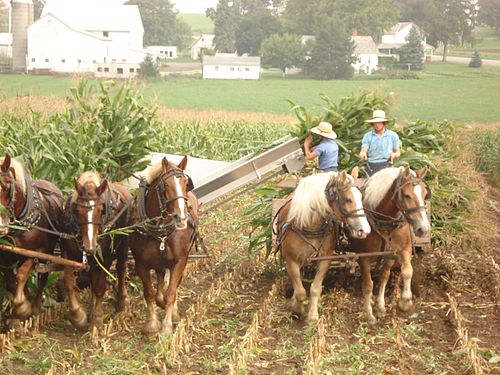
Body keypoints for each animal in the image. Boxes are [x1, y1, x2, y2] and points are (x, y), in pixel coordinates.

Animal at [0, 154, 63, 322]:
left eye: (7, 186)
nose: (0, 226)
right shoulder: (5, 256)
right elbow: (11, 281)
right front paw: (21, 307)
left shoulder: (37, 252)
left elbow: (21, 274)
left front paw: (23, 307)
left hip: (47, 254)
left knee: (42, 277)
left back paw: (36, 307)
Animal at [59, 171, 131, 328]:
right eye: (78, 210)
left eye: (100, 210)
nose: (89, 246)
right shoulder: (67, 253)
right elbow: (69, 282)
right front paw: (77, 316)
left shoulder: (106, 256)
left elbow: (99, 286)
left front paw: (97, 318)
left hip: (123, 246)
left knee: (121, 269)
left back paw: (120, 302)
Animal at [129, 156, 199, 334]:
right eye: (166, 185)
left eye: (186, 183)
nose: (181, 217)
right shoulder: (141, 264)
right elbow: (149, 293)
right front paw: (152, 324)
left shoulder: (180, 261)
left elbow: (171, 293)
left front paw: (167, 326)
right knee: (160, 279)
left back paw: (173, 312)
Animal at [274, 172, 372, 322]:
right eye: (348, 199)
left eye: (361, 197)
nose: (364, 230)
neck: (309, 225)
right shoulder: (290, 260)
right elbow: (300, 291)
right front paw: (297, 309)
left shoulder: (325, 258)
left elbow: (315, 288)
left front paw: (313, 316)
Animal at [350, 166, 432, 324]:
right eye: (406, 195)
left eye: (425, 194)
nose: (424, 229)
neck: (385, 223)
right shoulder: (363, 257)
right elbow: (368, 284)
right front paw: (369, 314)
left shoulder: (401, 250)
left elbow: (405, 272)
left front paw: (404, 302)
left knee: (385, 274)